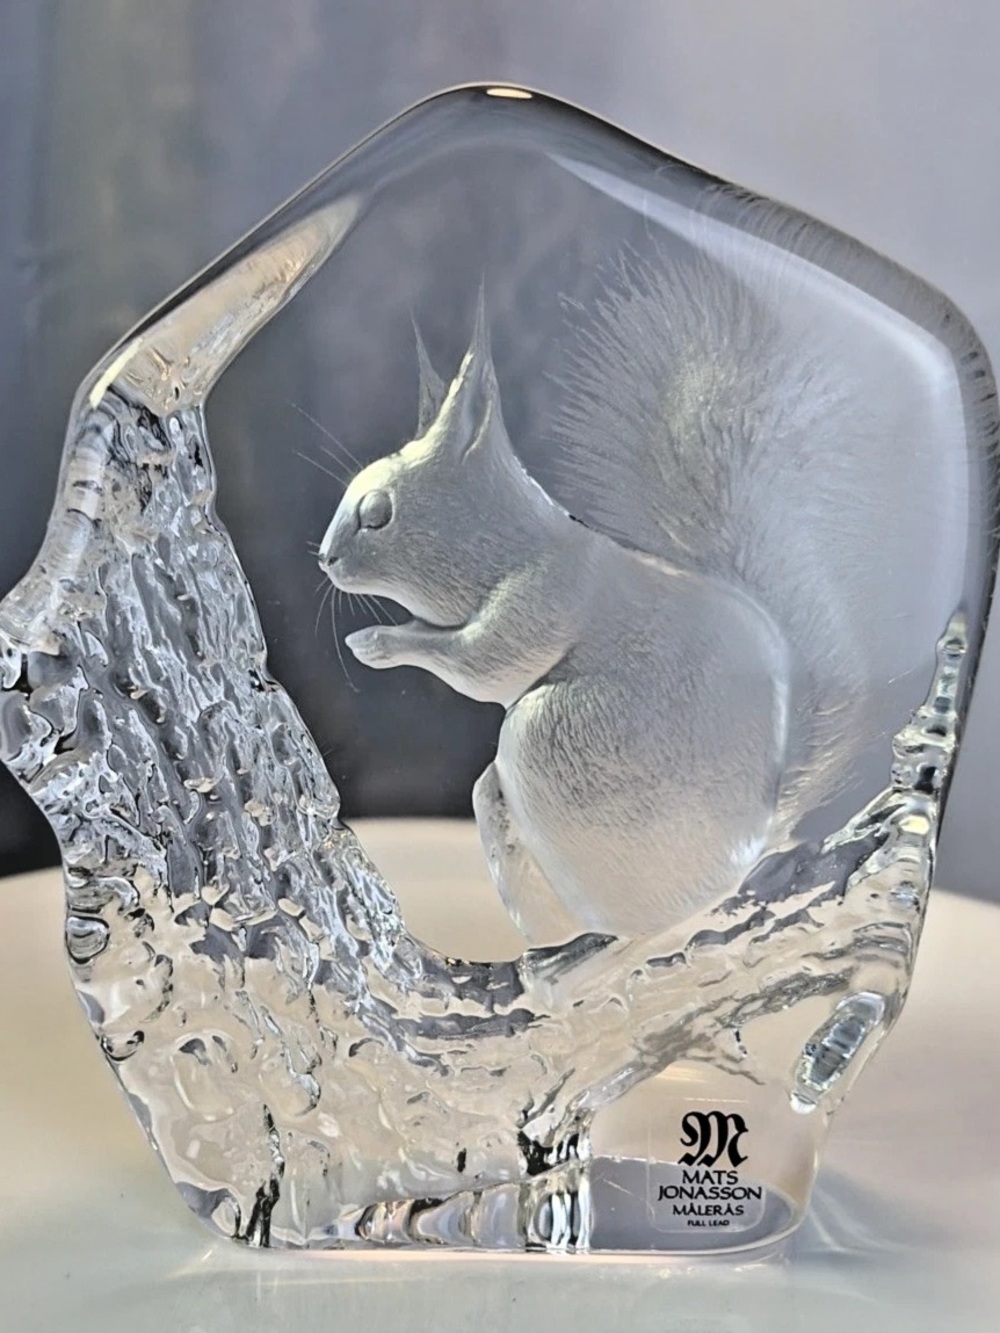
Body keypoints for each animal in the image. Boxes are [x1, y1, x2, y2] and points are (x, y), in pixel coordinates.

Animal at [318, 250, 872, 945]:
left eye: (376, 514)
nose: (324, 558)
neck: (508, 545)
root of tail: (746, 848)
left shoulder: (546, 595)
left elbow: (479, 663)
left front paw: (376, 643)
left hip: (546, 741)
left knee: (640, 919)